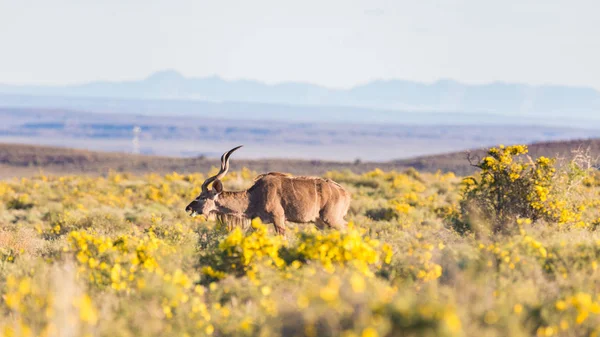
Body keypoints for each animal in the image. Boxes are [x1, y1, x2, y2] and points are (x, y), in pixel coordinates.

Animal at [184, 144, 352, 234]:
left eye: (202, 197)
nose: (188, 208)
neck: (254, 196)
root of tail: (345, 193)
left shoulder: (278, 219)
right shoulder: (257, 222)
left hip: (331, 219)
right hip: (320, 223)